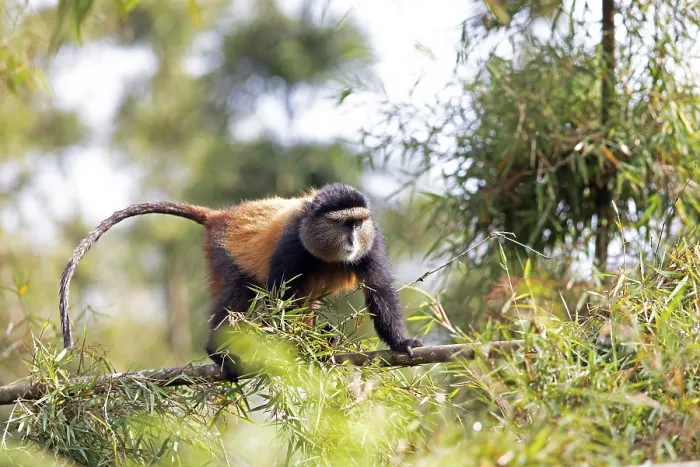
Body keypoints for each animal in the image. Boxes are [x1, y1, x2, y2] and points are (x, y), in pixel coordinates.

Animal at [59, 183, 423, 380]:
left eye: (358, 223)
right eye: (343, 224)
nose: (351, 240)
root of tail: (219, 216)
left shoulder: (372, 242)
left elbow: (379, 289)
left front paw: (400, 343)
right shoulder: (291, 245)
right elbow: (279, 299)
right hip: (224, 256)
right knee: (239, 294)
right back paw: (219, 352)